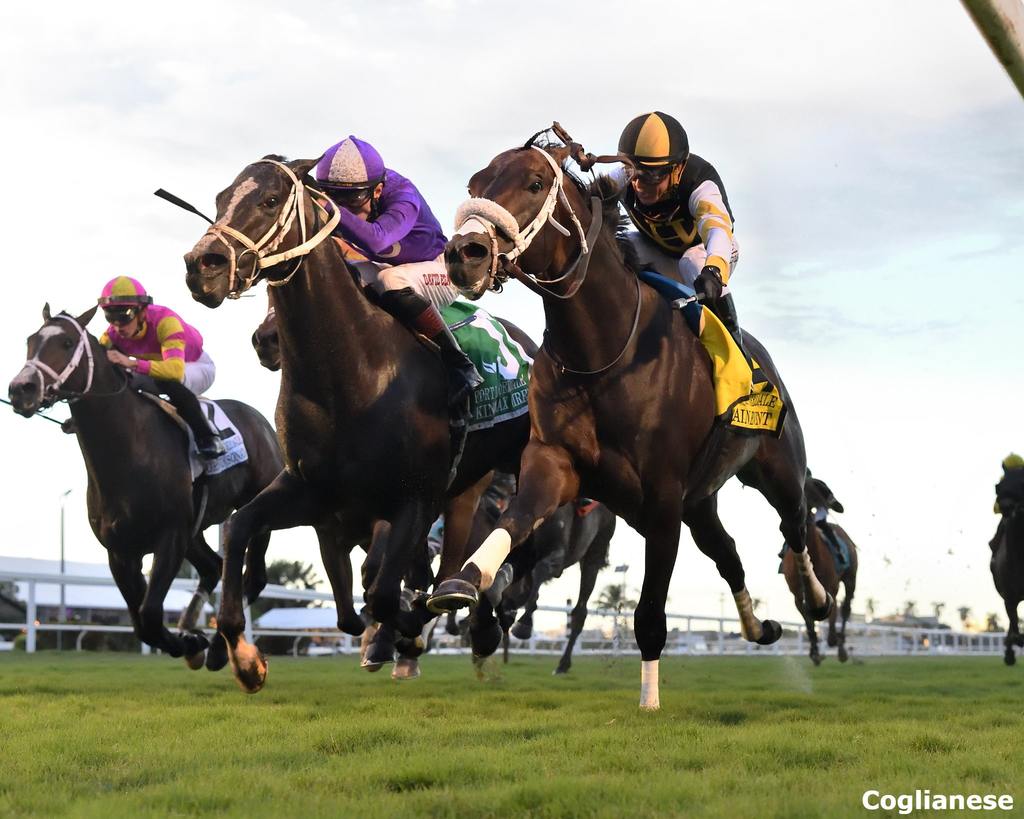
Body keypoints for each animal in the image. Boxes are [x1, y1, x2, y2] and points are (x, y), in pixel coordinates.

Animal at [7, 305, 284, 663]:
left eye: (67, 342)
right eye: (30, 341)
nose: (21, 388)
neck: (129, 454)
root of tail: (262, 422)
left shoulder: (170, 537)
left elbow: (150, 614)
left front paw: (191, 642)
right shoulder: (121, 551)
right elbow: (142, 623)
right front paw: (188, 640)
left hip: (255, 507)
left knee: (255, 577)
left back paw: (219, 647)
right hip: (195, 531)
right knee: (214, 567)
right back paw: (193, 626)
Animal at [184, 155, 532, 692]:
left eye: (268, 200)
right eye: (221, 199)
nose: (203, 265)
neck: (351, 375)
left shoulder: (414, 497)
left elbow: (386, 594)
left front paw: (406, 630)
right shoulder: (315, 495)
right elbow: (242, 530)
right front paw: (244, 656)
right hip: (460, 489)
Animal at [428, 131, 827, 708]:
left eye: (535, 182)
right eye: (474, 185)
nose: (465, 254)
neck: (604, 350)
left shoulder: (661, 497)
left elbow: (649, 612)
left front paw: (649, 701)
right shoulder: (557, 464)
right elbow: (513, 523)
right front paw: (466, 589)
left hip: (776, 469)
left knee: (793, 523)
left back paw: (813, 599)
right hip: (698, 501)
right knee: (726, 551)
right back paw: (759, 627)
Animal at [782, 472, 856, 663]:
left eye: (818, 486)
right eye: (804, 487)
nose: (829, 502)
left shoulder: (831, 588)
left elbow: (832, 614)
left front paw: (832, 641)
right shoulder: (797, 595)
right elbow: (809, 622)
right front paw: (815, 651)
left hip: (851, 577)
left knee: (846, 608)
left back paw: (841, 647)